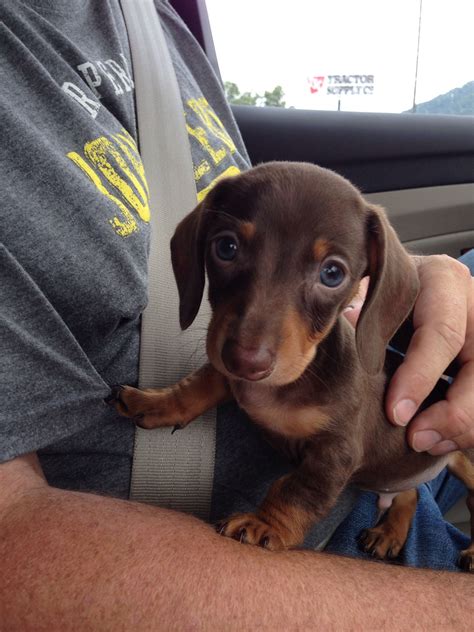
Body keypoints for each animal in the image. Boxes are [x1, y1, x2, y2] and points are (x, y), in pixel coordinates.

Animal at [112, 163, 474, 572]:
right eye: (226, 248)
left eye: (332, 273)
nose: (246, 360)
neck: (289, 383)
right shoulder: (228, 373)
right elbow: (200, 384)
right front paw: (157, 402)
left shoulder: (335, 452)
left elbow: (297, 491)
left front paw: (265, 523)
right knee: (409, 491)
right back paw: (390, 531)